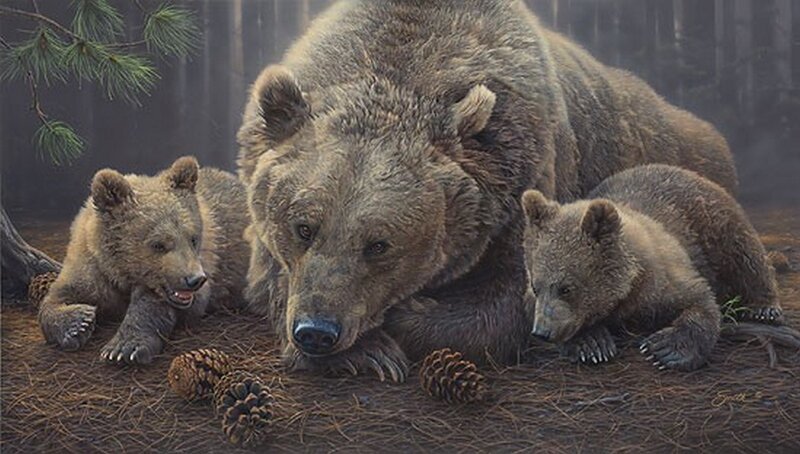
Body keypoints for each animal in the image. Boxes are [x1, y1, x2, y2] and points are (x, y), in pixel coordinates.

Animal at [37, 157, 250, 365]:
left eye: (193, 238)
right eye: (158, 244)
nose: (195, 279)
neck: (121, 272)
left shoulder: (204, 267)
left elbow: (153, 302)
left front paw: (124, 348)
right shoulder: (91, 265)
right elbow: (60, 293)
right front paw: (77, 323)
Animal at [237, 0, 738, 381]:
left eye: (379, 244)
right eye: (303, 227)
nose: (317, 330)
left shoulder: (520, 186)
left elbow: (508, 302)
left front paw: (403, 322)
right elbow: (269, 282)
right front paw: (370, 352)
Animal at [522, 164, 782, 371]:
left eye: (566, 288)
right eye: (536, 287)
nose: (542, 331)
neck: (629, 285)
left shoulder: (663, 278)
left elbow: (700, 301)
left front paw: (664, 350)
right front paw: (591, 344)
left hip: (718, 223)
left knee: (746, 256)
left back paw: (764, 307)